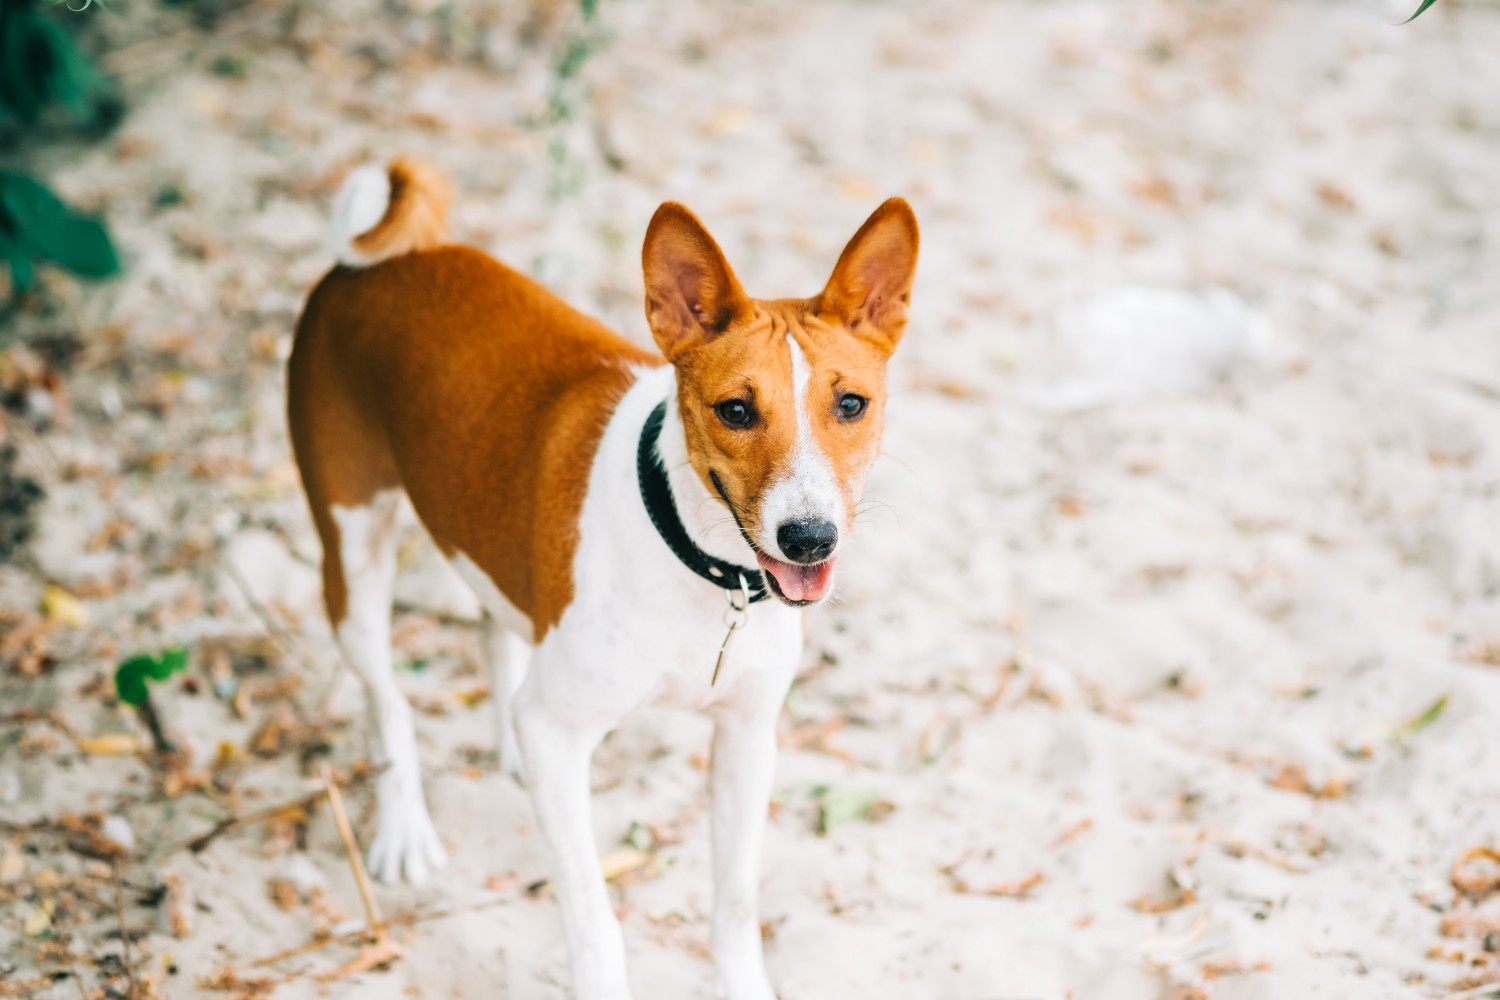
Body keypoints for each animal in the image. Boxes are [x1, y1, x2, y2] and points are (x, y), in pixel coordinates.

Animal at [282, 158, 912, 1000]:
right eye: (736, 411)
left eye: (851, 404)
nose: (808, 539)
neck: (703, 569)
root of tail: (376, 264)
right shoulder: (559, 731)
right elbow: (593, 919)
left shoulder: (746, 737)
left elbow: (735, 903)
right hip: (352, 558)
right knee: (387, 699)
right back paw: (405, 826)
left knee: (497, 631)